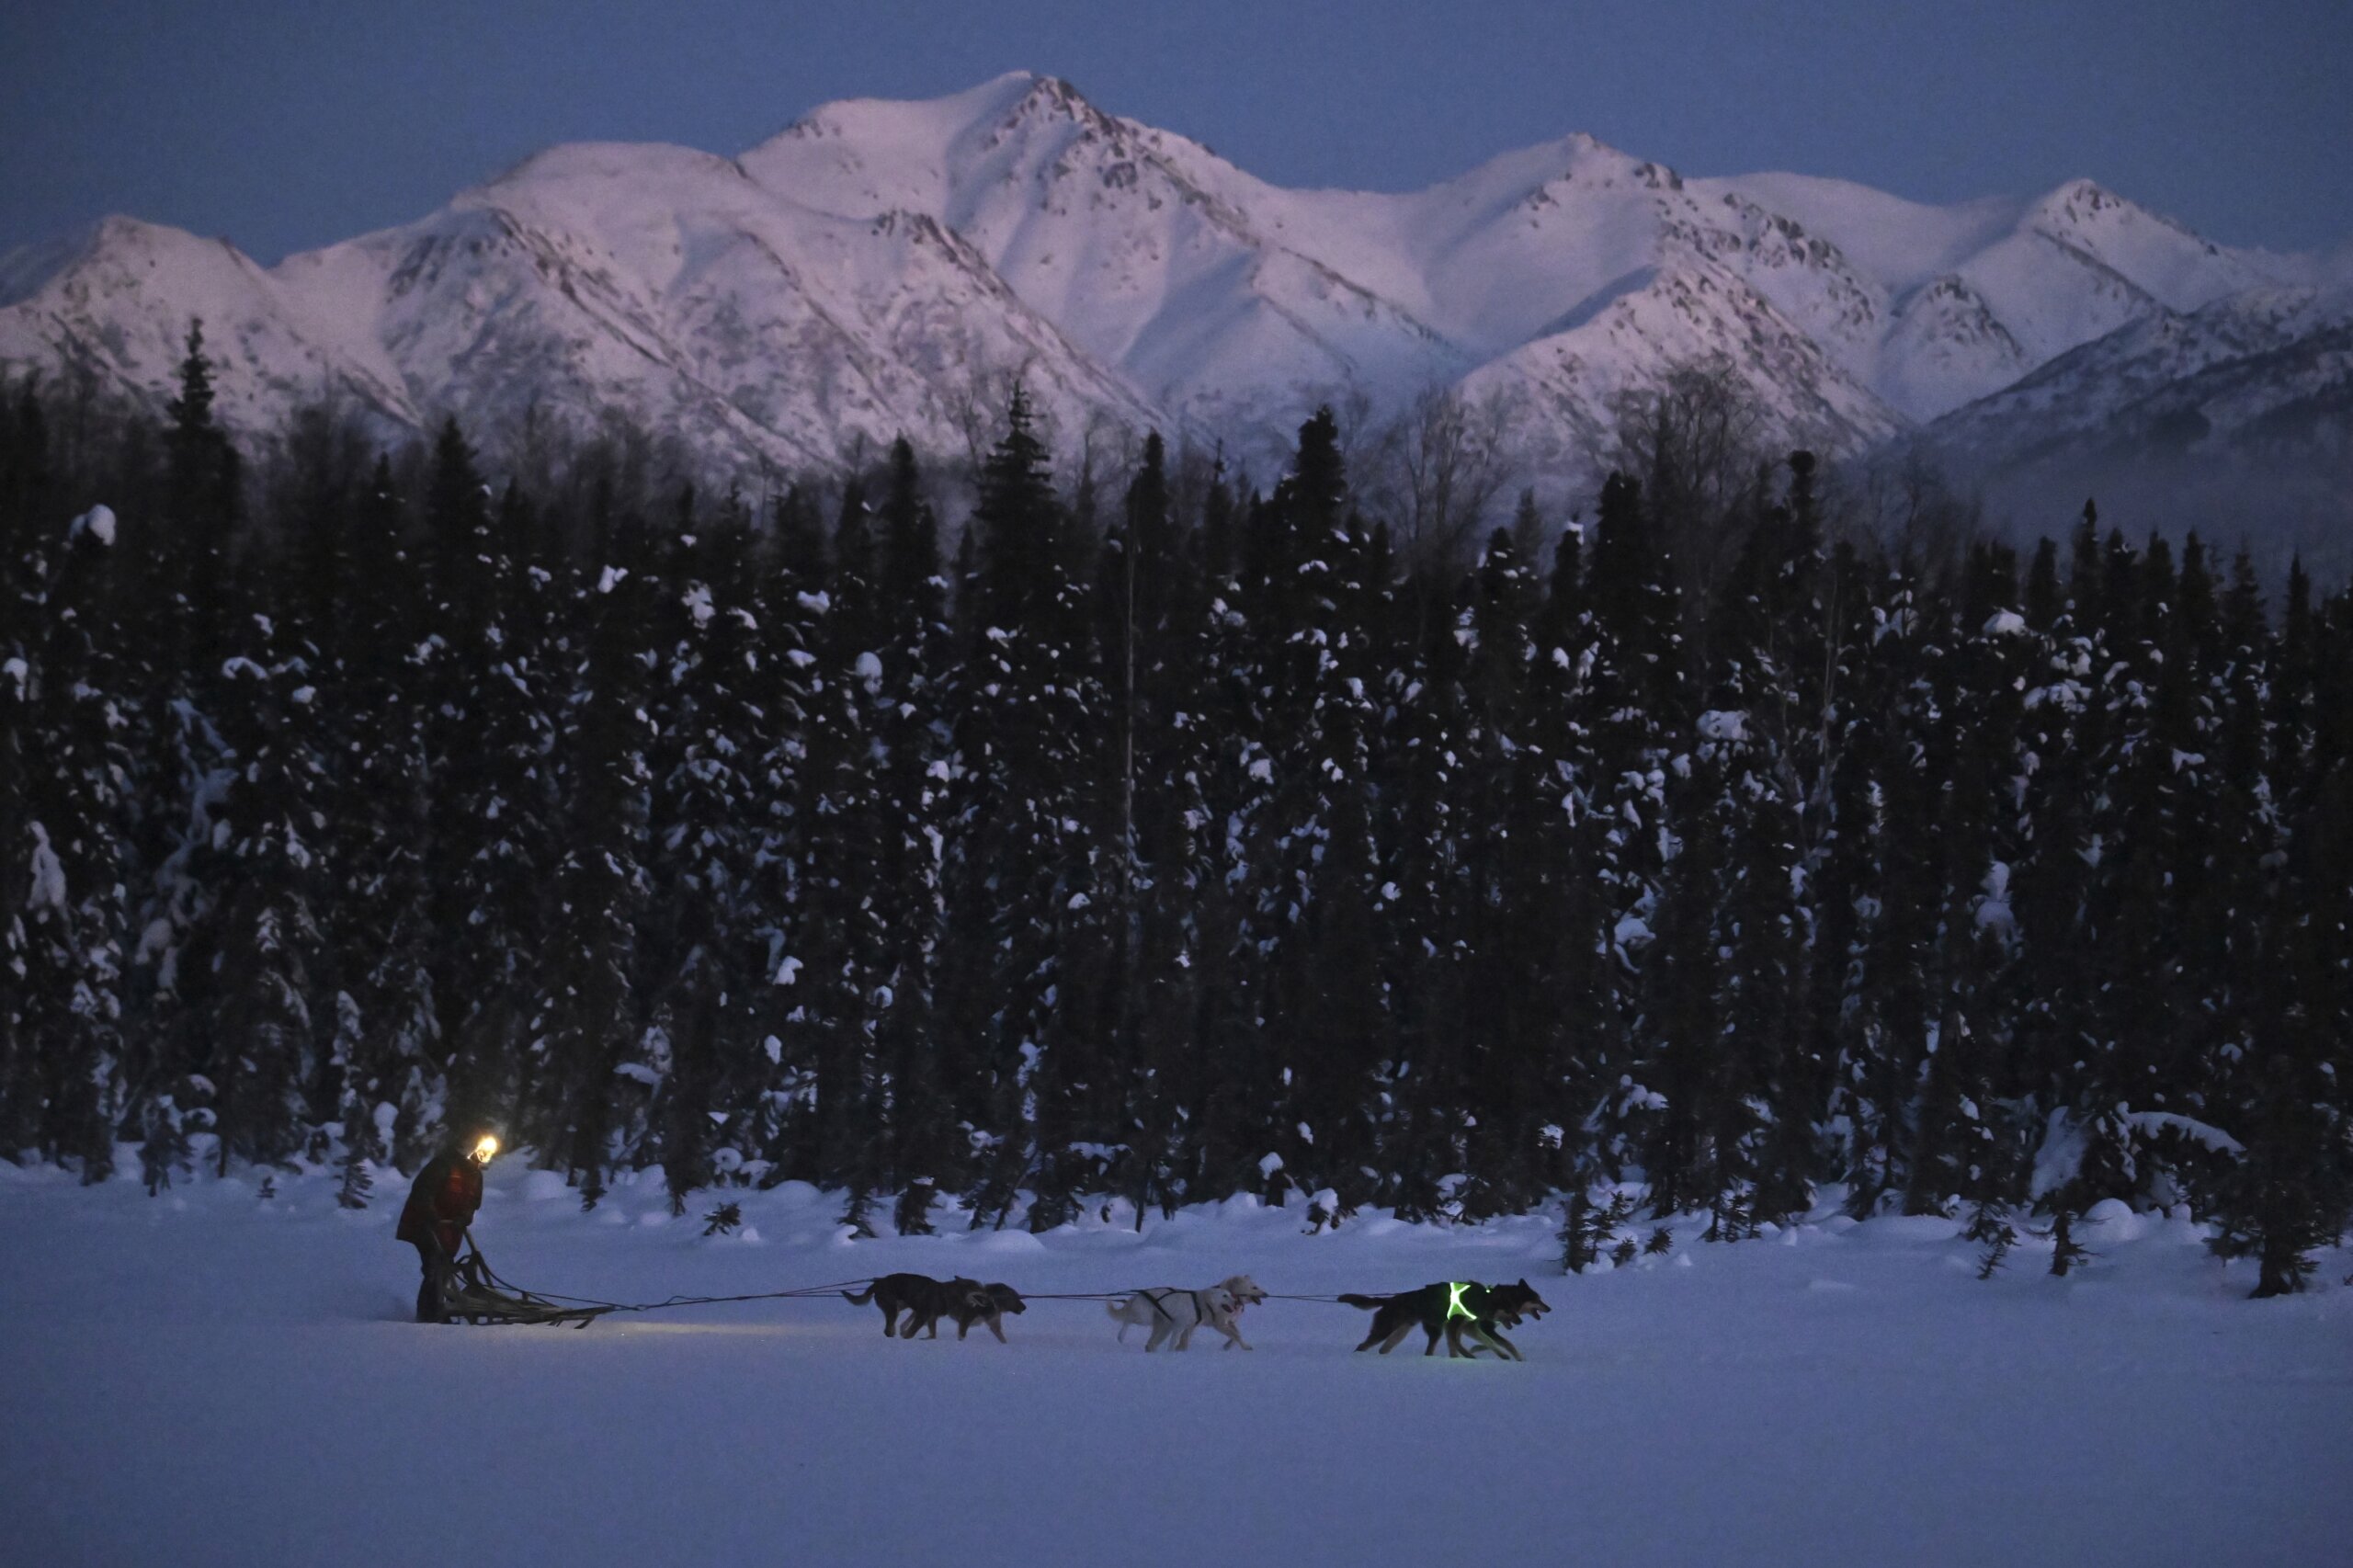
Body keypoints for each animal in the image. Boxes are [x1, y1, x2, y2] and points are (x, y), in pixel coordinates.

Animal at [851, 1261, 1026, 1336]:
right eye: (979, 1289)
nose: (991, 1297)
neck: (947, 1294)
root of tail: (877, 1282)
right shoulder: (923, 1315)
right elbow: (911, 1333)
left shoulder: (931, 1317)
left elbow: (931, 1334)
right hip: (893, 1308)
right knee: (889, 1329)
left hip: (901, 1306)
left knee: (893, 1327)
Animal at [1106, 1271, 1270, 1346]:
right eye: (1254, 1287)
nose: (1267, 1294)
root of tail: (1137, 1295)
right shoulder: (1219, 1324)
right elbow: (1236, 1336)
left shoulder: (1223, 1323)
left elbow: (1236, 1335)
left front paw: (1229, 1346)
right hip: (1143, 1317)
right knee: (1128, 1320)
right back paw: (1121, 1336)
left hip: (1160, 1324)